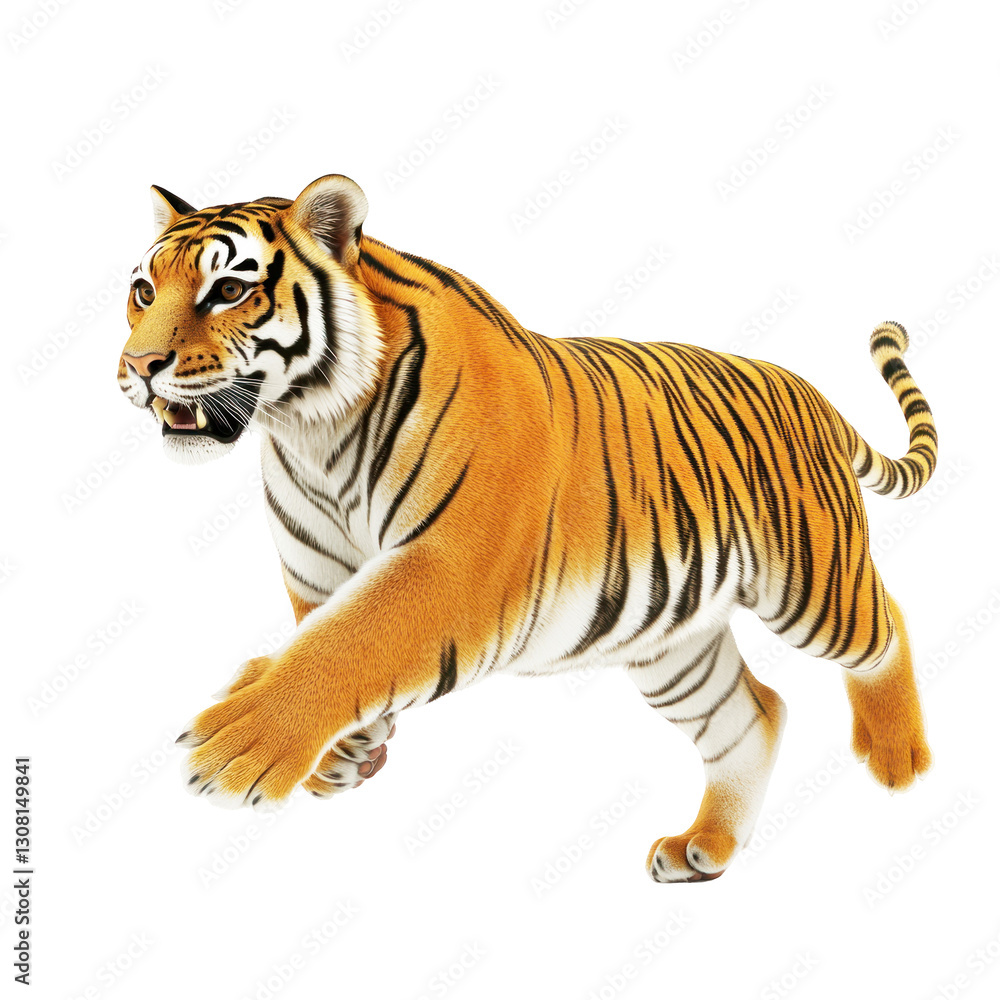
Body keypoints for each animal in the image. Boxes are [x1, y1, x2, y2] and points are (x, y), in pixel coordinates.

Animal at [117, 174, 936, 883]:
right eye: (143, 291)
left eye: (228, 290)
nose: (138, 366)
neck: (312, 428)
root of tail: (813, 395)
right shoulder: (320, 576)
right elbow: (320, 635)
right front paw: (345, 754)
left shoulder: (452, 565)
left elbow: (351, 641)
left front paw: (237, 741)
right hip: (670, 641)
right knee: (753, 715)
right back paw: (706, 847)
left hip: (811, 583)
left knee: (888, 624)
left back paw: (898, 759)